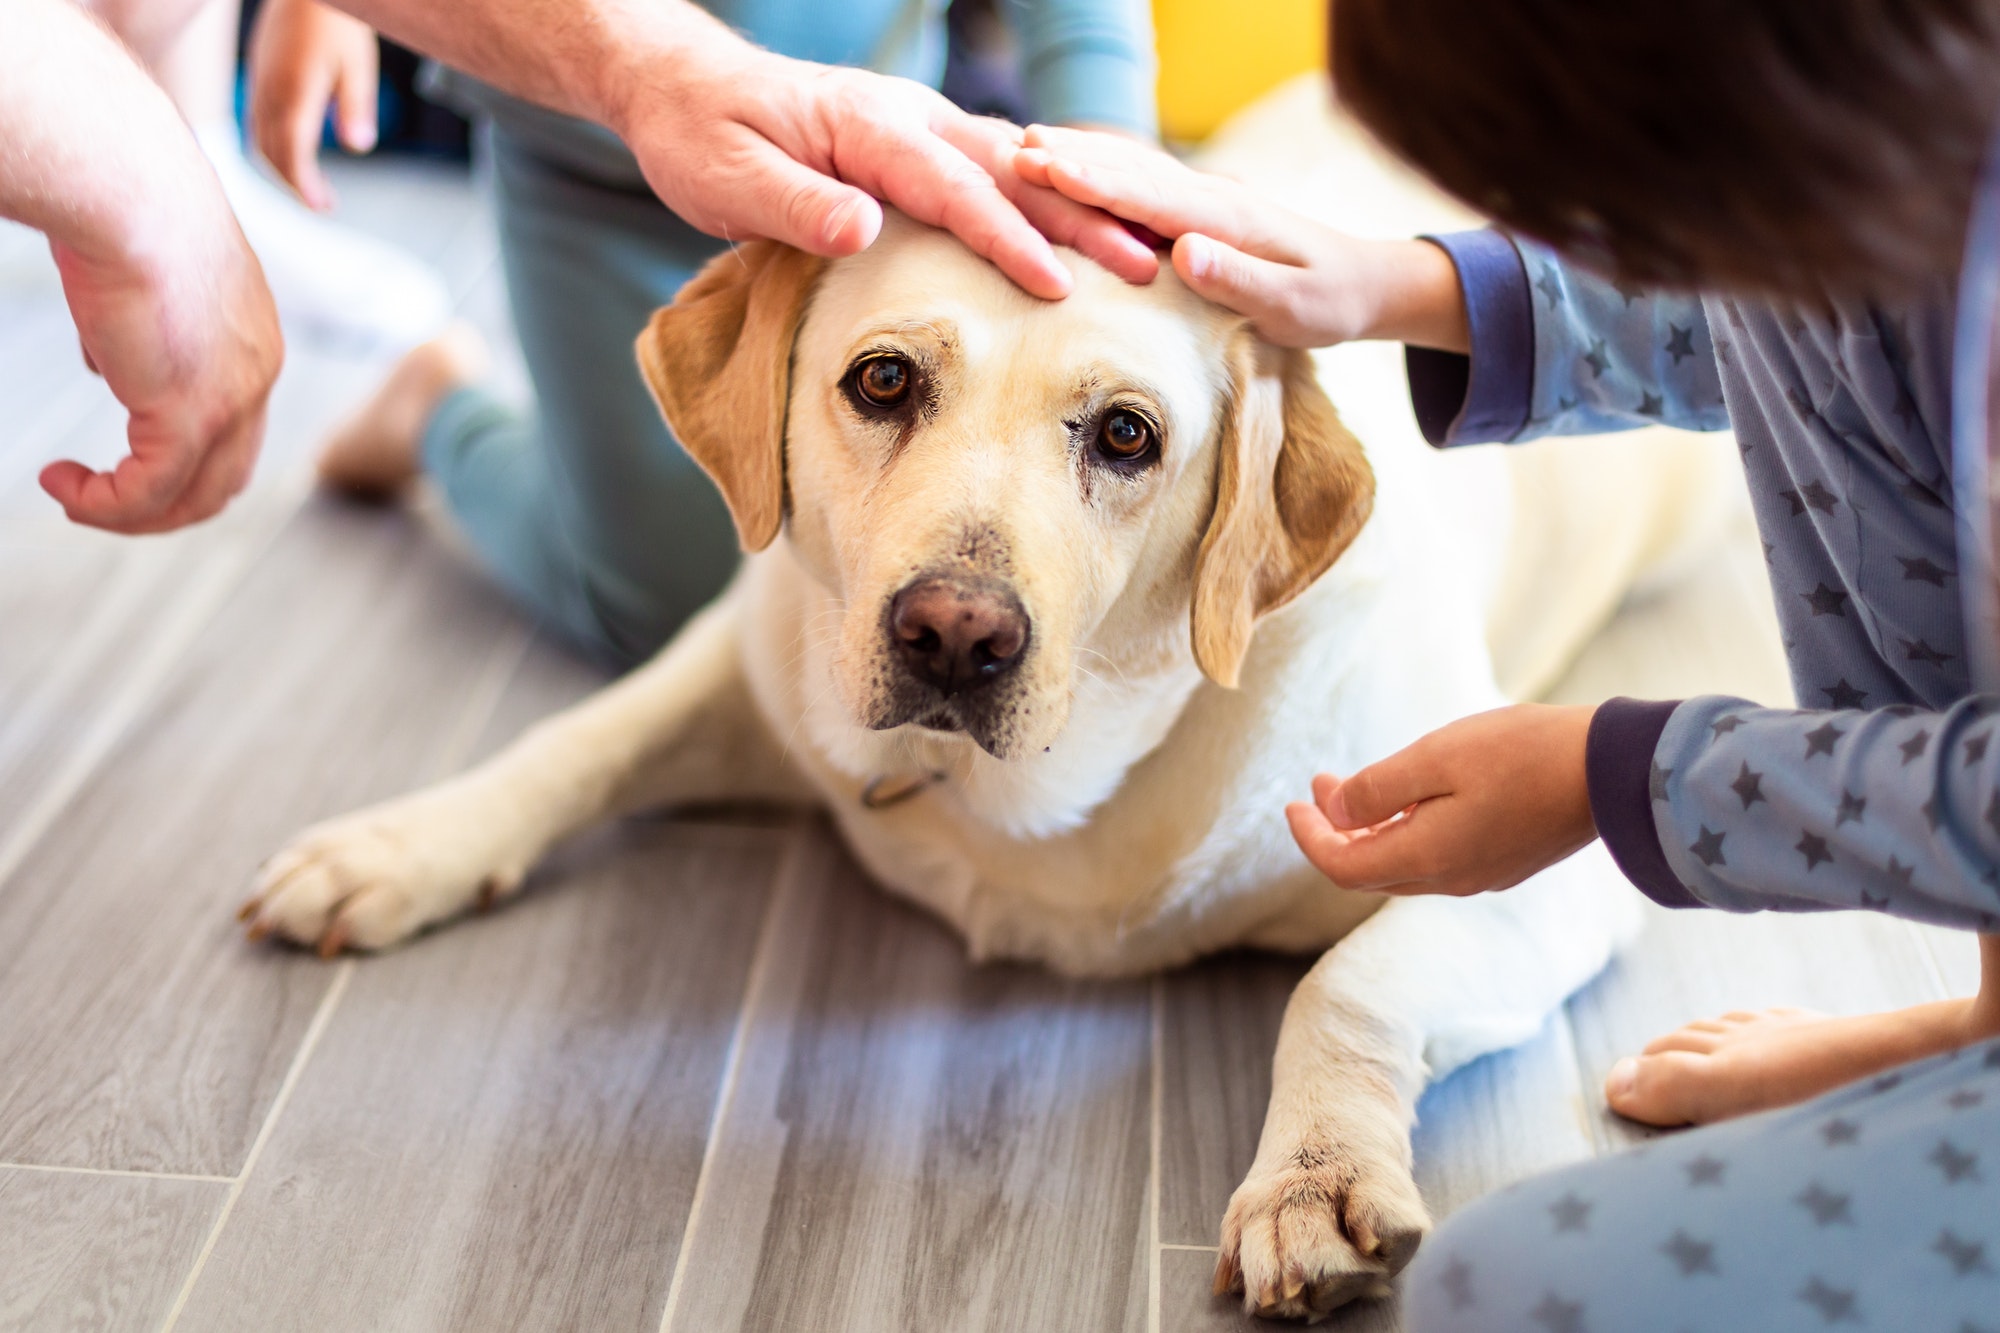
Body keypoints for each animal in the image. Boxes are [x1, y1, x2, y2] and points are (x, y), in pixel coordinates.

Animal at [242, 215, 1640, 1304]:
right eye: (880, 382)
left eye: (1125, 437)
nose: (956, 634)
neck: (1027, 802)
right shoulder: (749, 655)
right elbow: (576, 738)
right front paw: (399, 846)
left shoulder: (1538, 863)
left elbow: (1345, 979)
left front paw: (1314, 1180)